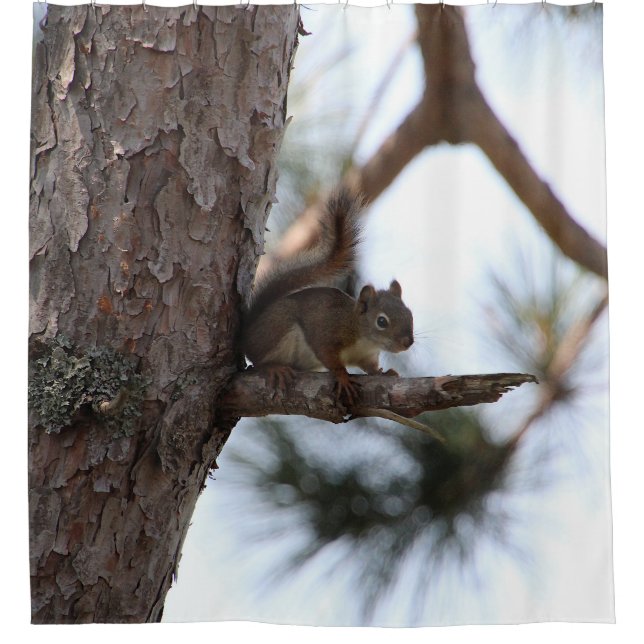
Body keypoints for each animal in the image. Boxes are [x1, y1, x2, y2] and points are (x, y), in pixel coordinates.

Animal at [241, 188, 414, 404]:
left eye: (410, 315)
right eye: (382, 321)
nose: (408, 342)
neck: (362, 335)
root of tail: (247, 334)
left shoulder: (367, 356)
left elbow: (371, 368)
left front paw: (383, 373)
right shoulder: (328, 331)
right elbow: (327, 355)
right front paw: (343, 377)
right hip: (278, 328)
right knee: (258, 361)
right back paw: (273, 368)